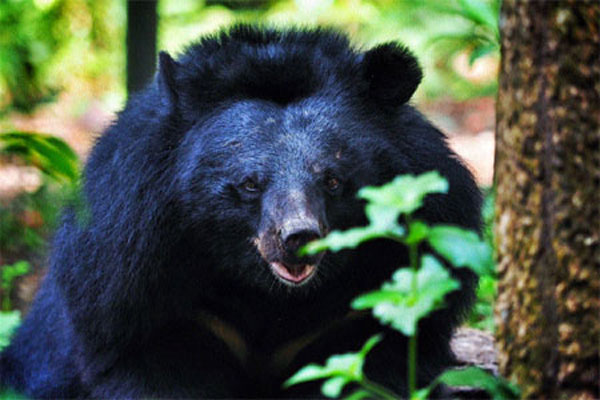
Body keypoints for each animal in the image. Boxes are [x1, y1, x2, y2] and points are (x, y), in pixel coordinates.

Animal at [0, 25, 478, 396]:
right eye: (250, 183)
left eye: (332, 180)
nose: (298, 238)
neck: (265, 292)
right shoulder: (133, 285)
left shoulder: (369, 305)